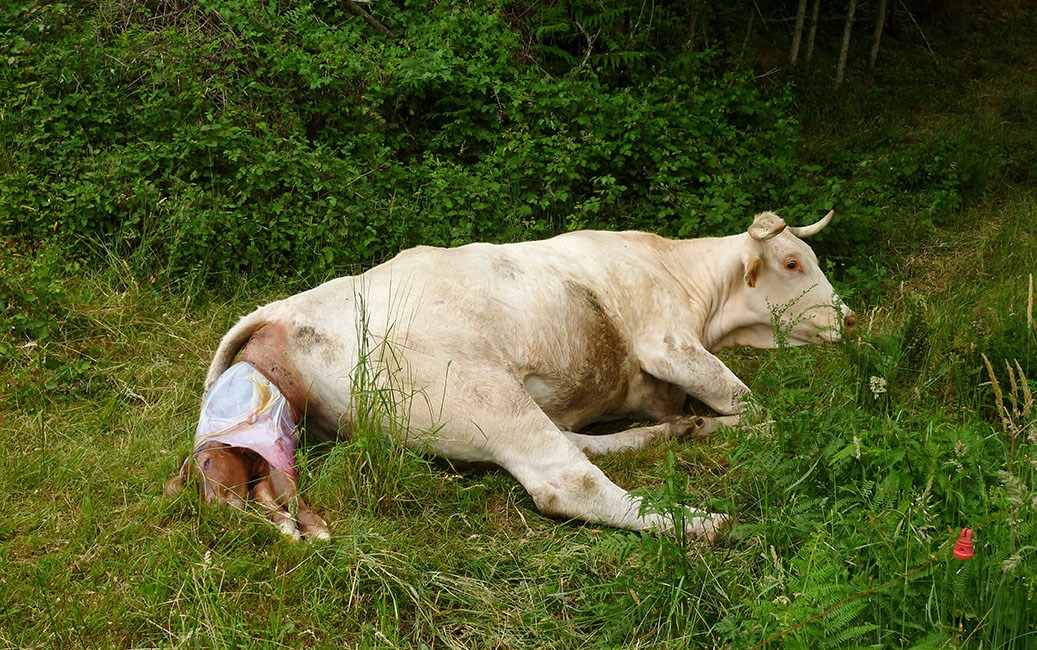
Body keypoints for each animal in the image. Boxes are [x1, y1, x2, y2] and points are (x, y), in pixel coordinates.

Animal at [167, 211, 850, 543]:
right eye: (794, 262)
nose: (846, 316)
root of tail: (283, 311)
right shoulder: (670, 344)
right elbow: (753, 408)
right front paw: (738, 429)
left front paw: (689, 424)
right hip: (483, 391)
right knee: (566, 481)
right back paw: (703, 523)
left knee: (577, 447)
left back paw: (674, 436)